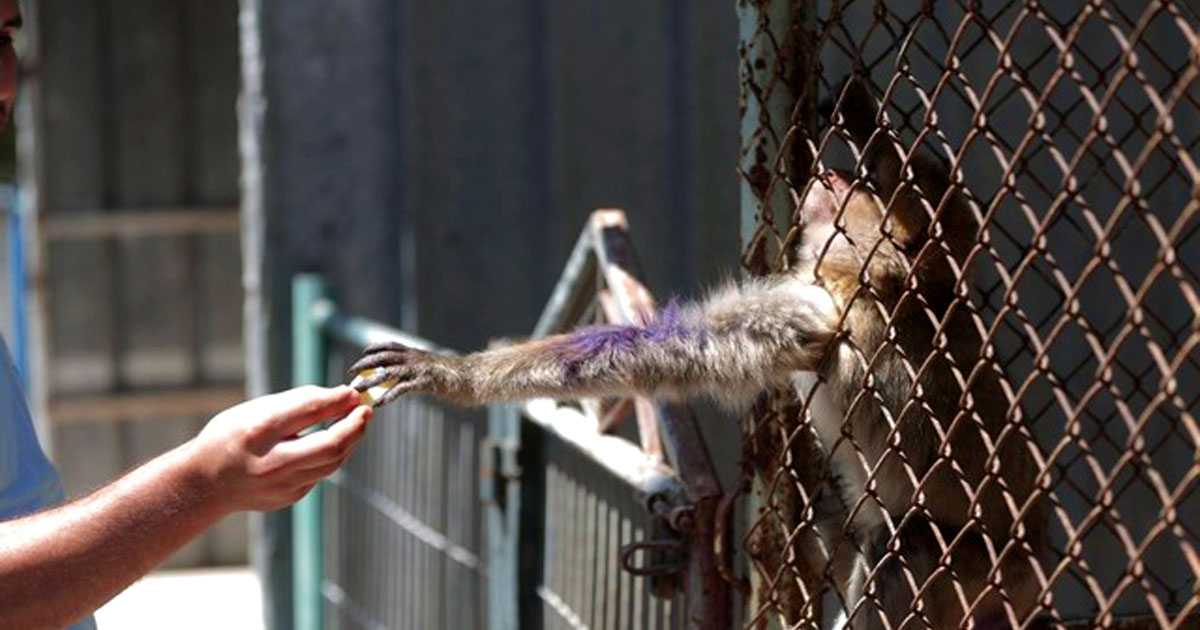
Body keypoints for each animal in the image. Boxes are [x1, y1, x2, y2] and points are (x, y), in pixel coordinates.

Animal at [348, 78, 1046, 630]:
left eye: (862, 189)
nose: (836, 173)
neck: (881, 279)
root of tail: (1028, 566)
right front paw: (859, 111)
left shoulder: (819, 306)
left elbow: (671, 350)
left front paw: (455, 376)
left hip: (974, 566)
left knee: (906, 546)